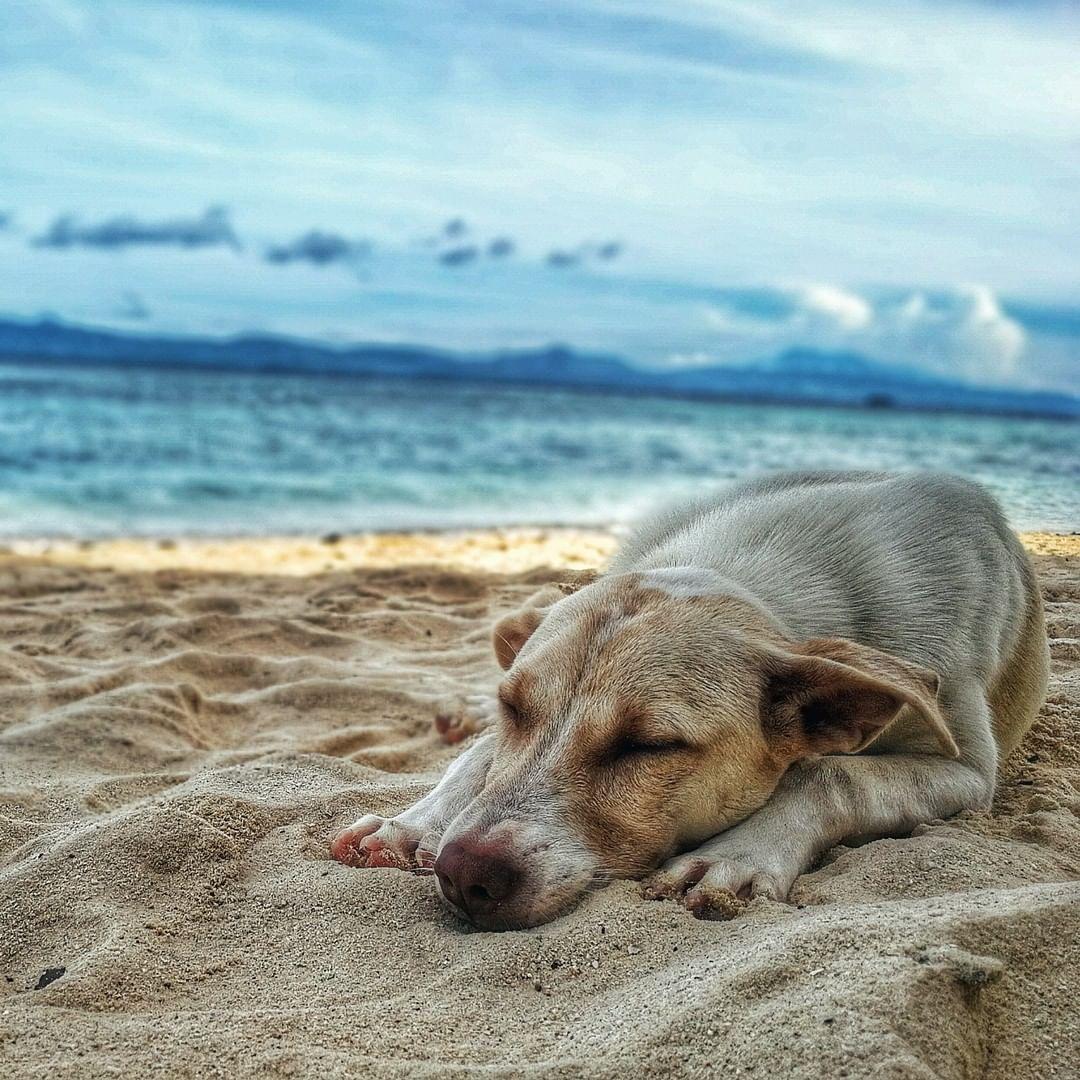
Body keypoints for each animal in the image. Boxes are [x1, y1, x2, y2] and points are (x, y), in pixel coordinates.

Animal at [334, 470, 1045, 928]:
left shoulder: (968, 769)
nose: (462, 874)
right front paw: (417, 821)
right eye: (513, 709)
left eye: (648, 746)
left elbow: (830, 772)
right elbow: (482, 757)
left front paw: (737, 854)